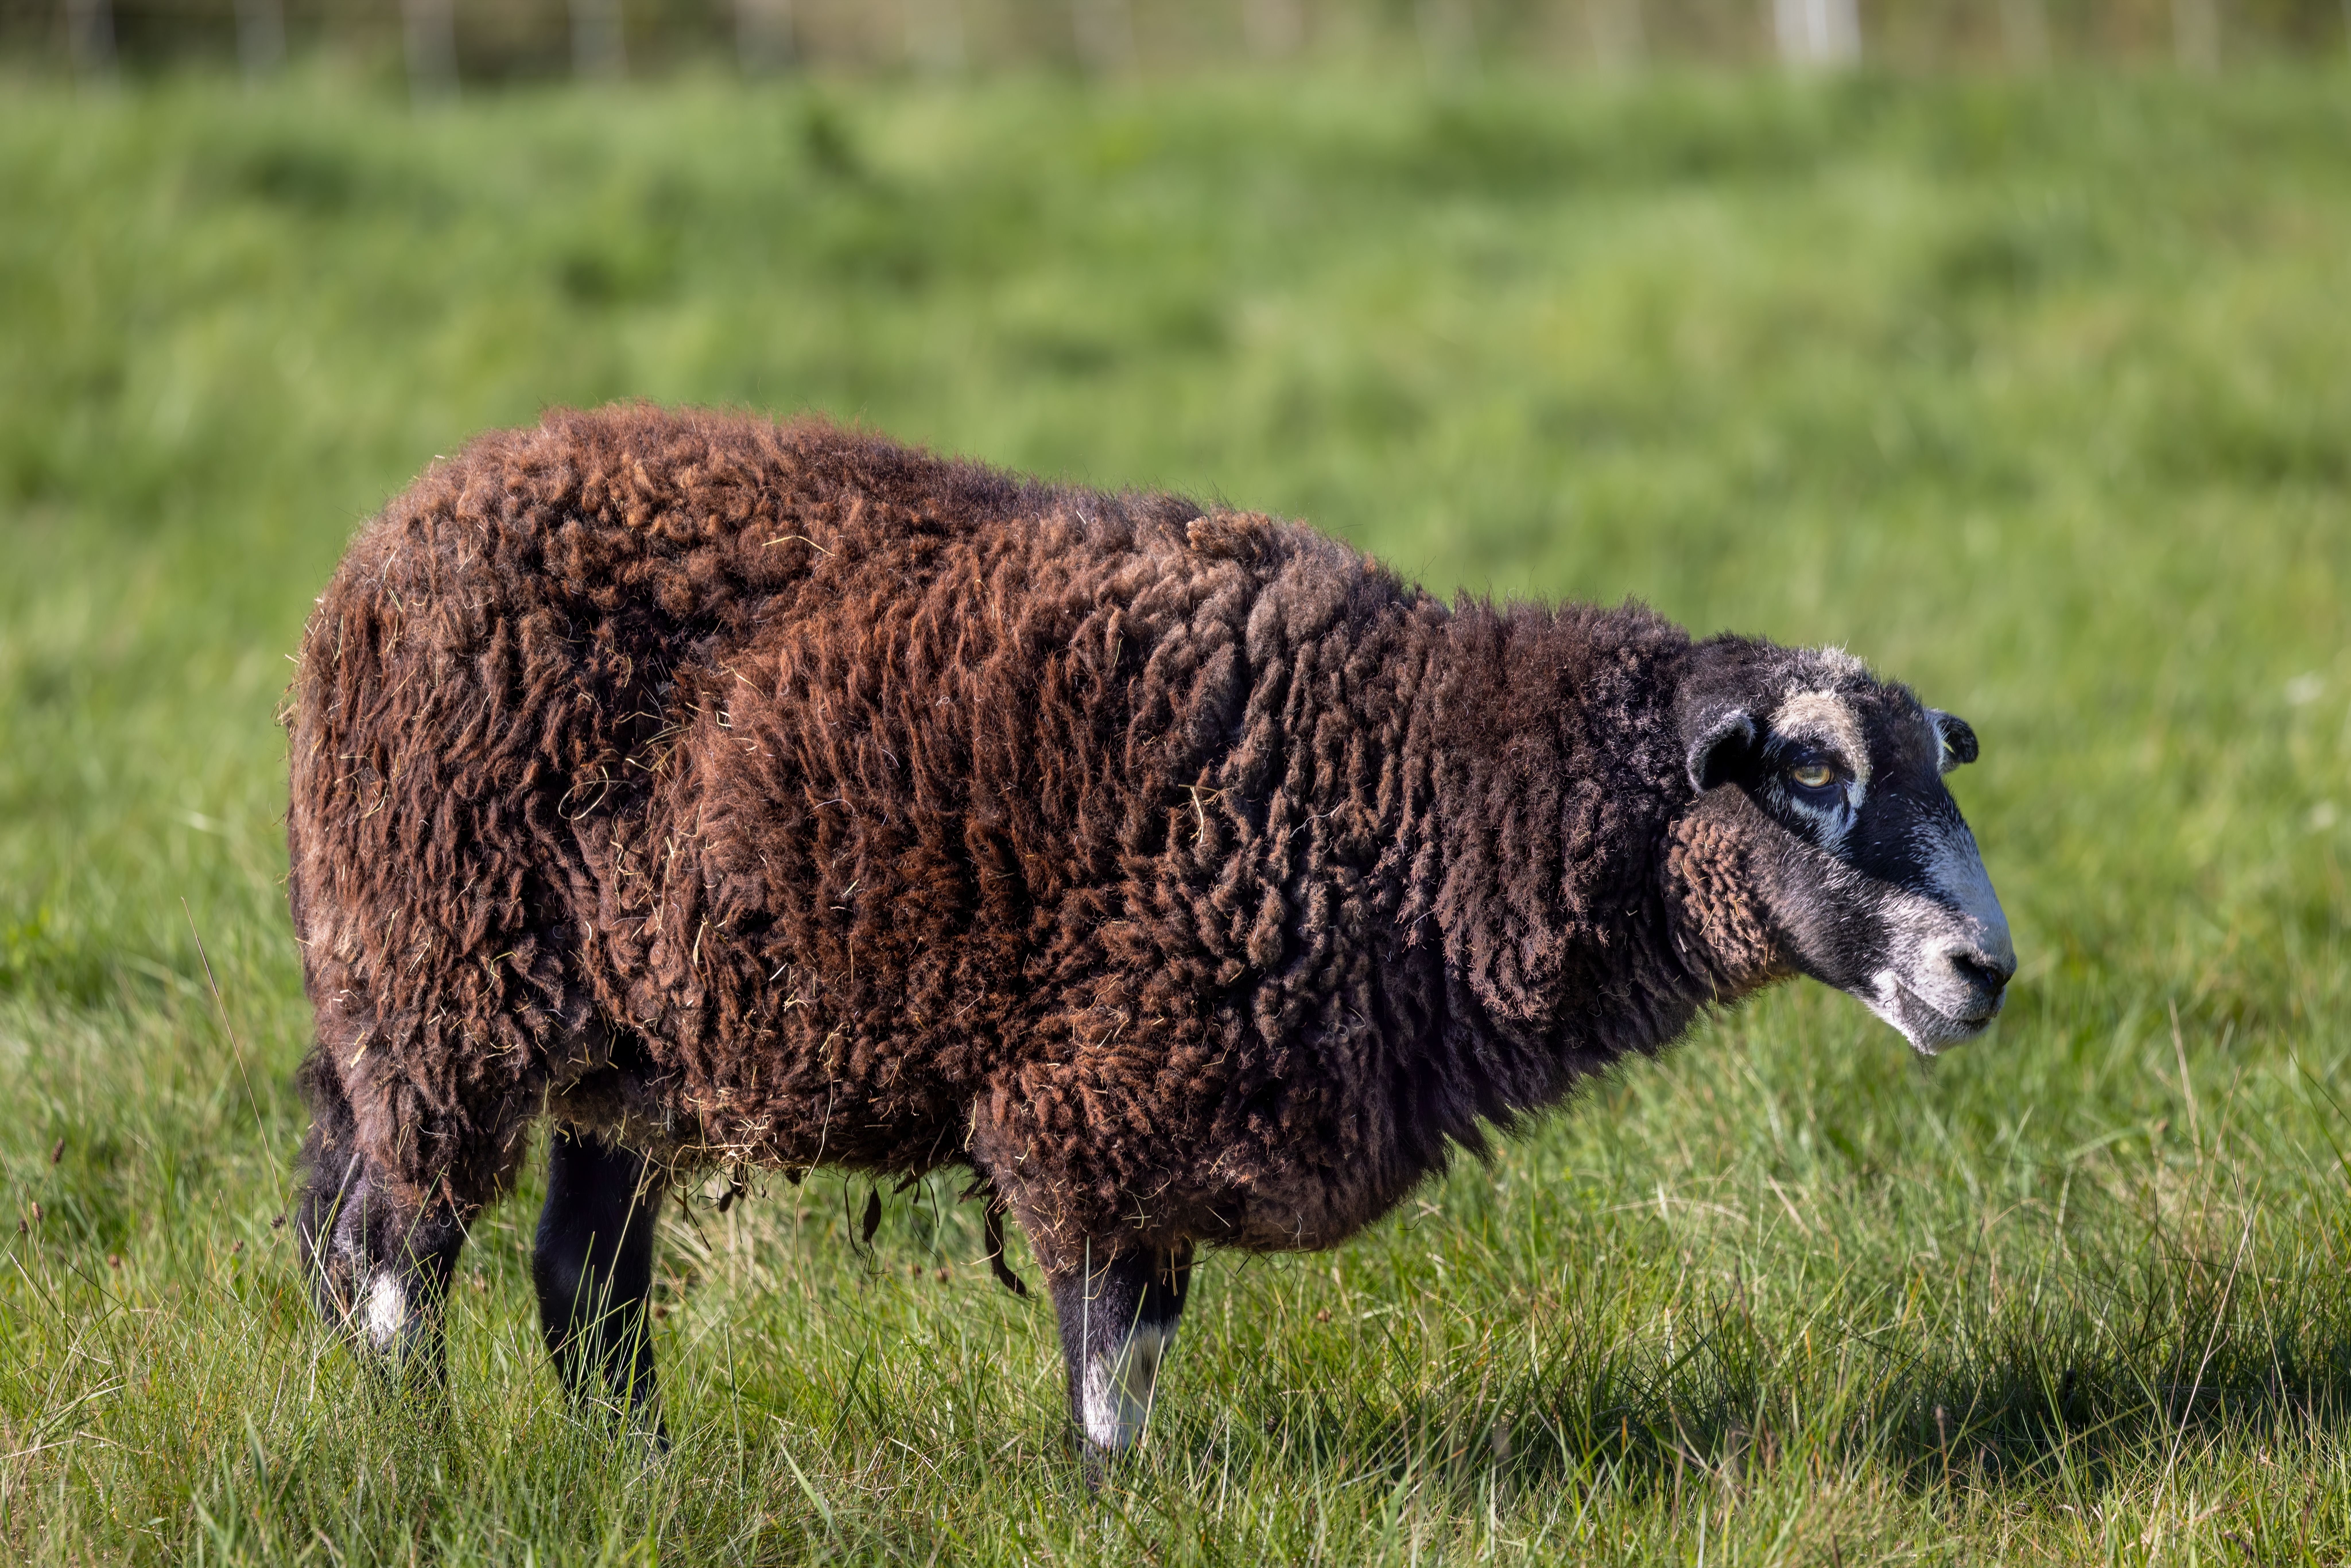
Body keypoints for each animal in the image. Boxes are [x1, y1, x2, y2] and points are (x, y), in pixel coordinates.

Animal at [286, 404, 2015, 1455]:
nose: (1983, 970)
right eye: (1811, 774)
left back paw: (637, 1472)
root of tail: (382, 538)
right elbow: (1112, 1370)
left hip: (630, 1039)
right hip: (439, 985)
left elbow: (1143, 1348)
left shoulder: (1175, 1127)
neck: (1416, 781)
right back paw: (416, 1455)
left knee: (582, 1281)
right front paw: (1114, 1507)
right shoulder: (1102, 1105)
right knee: (392, 1254)